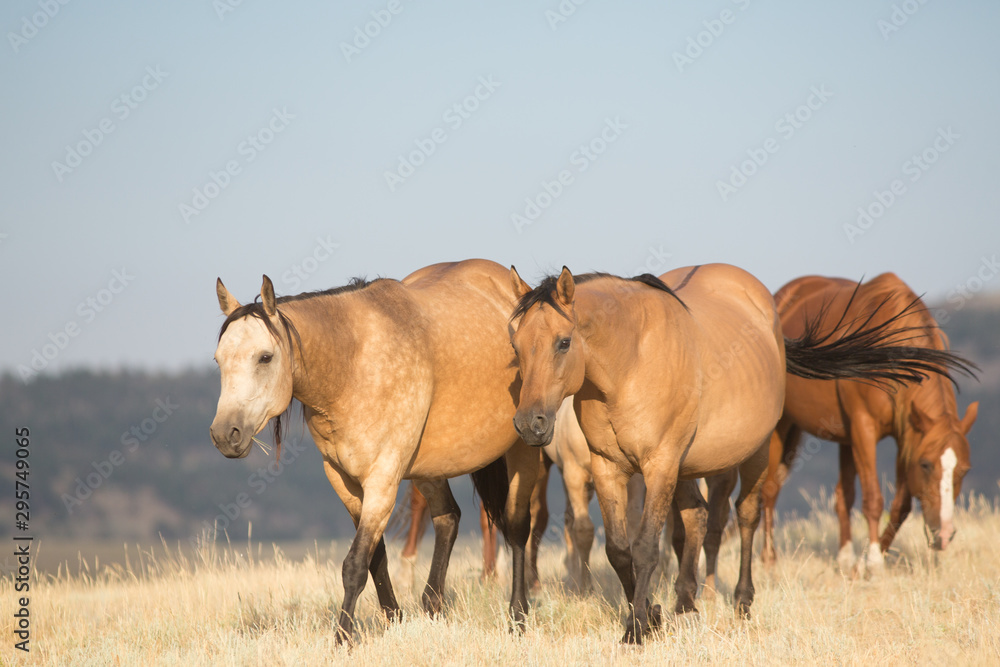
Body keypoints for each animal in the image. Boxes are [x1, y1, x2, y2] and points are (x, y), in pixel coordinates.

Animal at [209, 260, 541, 644]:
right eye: (218, 360)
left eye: (265, 357)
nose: (224, 434)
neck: (352, 365)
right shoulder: (344, 480)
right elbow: (375, 556)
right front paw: (394, 620)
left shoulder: (383, 477)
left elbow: (355, 564)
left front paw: (342, 639)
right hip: (428, 467)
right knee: (448, 518)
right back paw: (432, 607)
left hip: (523, 450)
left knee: (516, 528)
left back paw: (518, 617)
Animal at [759, 273, 978, 575]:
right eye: (926, 465)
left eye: (964, 470)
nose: (943, 535)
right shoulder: (864, 429)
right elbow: (874, 499)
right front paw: (873, 562)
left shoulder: (904, 436)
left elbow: (900, 506)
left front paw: (864, 562)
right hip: (784, 427)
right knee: (769, 489)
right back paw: (769, 560)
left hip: (844, 437)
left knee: (843, 496)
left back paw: (844, 557)